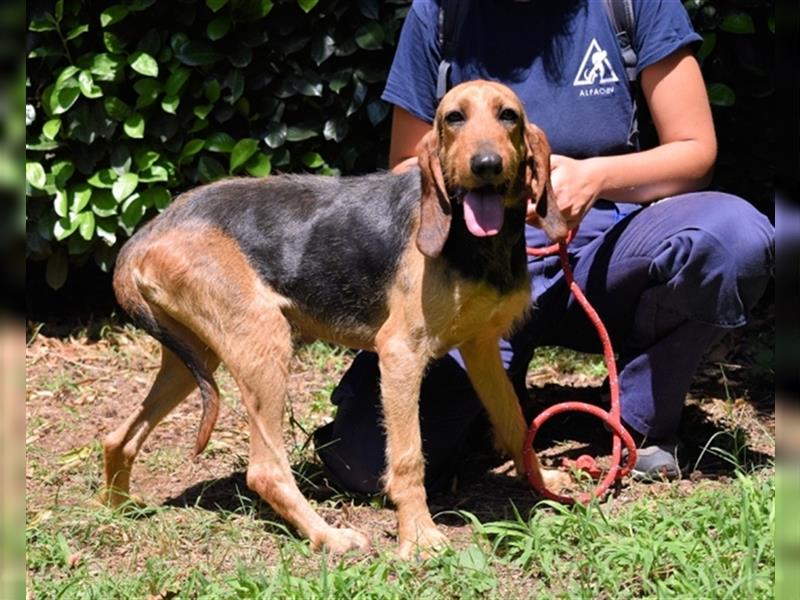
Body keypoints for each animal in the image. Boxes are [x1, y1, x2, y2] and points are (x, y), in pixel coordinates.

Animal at [104, 79, 568, 556]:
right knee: (266, 470)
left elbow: (515, 421)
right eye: (453, 117)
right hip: (262, 341)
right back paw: (328, 535)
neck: (475, 243)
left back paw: (118, 509)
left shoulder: (481, 348)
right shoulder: (400, 354)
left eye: (508, 116)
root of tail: (146, 235)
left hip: (194, 356)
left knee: (118, 437)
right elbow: (408, 456)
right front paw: (419, 536)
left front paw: (541, 480)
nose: (486, 165)